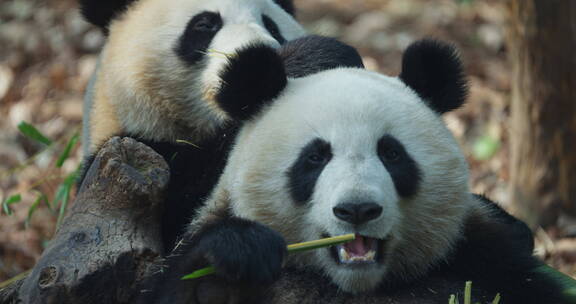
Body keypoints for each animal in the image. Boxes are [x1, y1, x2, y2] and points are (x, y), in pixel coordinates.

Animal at [138, 40, 564, 304]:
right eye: (315, 158)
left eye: (391, 153)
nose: (357, 210)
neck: (354, 285)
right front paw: (235, 257)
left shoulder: (484, 260)